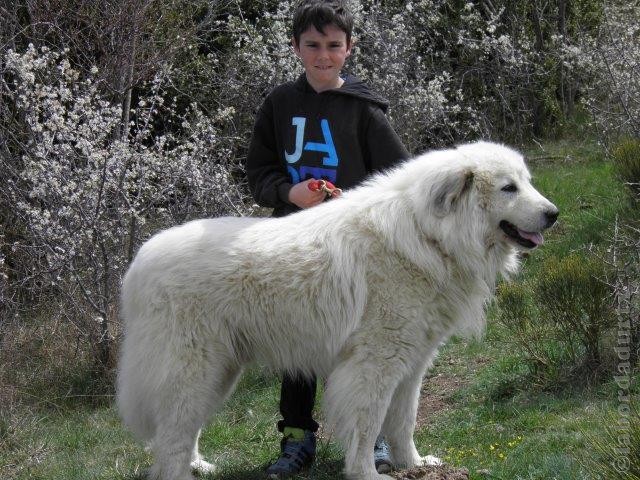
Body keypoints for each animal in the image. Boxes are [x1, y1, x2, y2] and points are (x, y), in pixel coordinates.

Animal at [117, 141, 556, 478]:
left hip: (218, 372)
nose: (553, 214)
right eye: (509, 188)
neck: (428, 236)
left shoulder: (413, 363)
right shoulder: (374, 364)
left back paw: (199, 465)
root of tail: (138, 265)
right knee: (171, 439)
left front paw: (412, 464)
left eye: (528, 182)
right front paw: (367, 474)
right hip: (193, 369)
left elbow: (404, 421)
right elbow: (367, 425)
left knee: (182, 429)